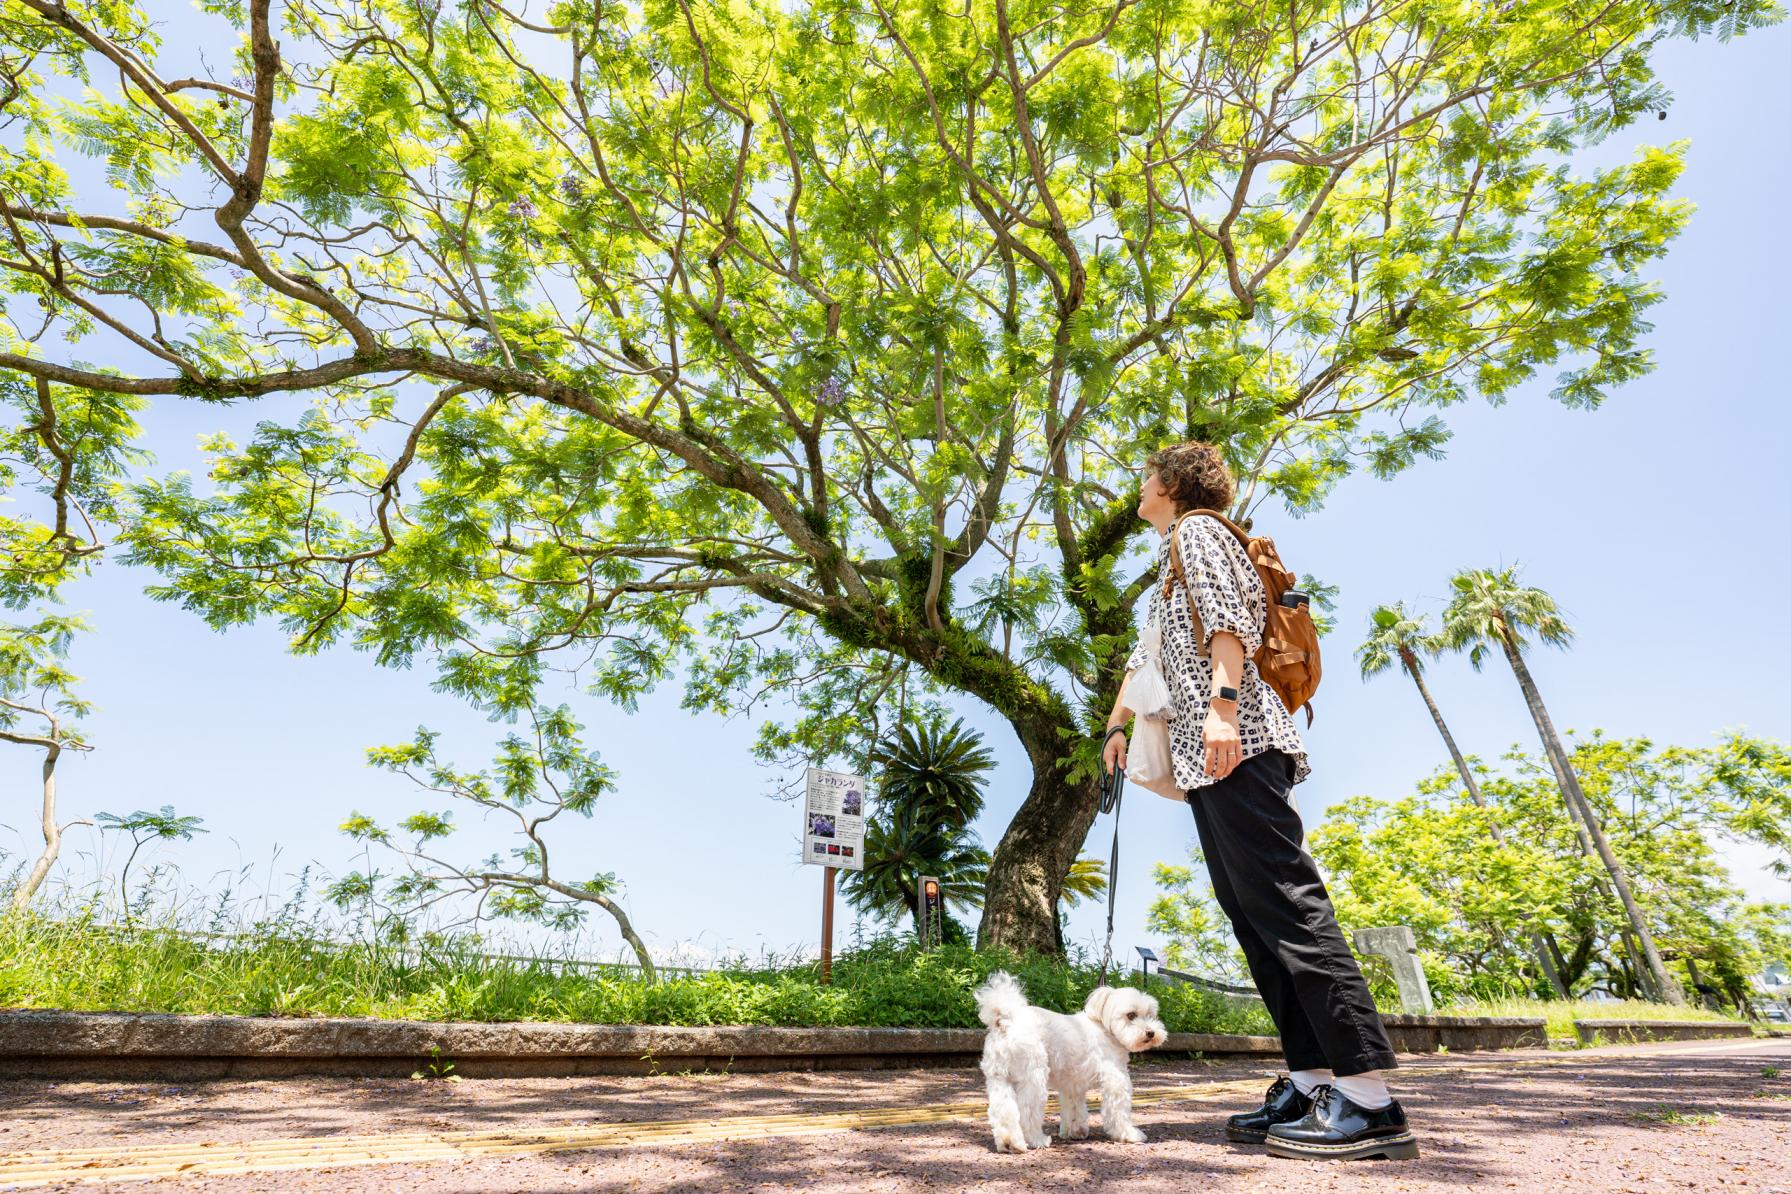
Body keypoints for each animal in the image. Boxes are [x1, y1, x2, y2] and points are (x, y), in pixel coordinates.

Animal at [974, 973, 1167, 1159]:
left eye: (1151, 1015)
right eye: (1131, 1015)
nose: (1151, 1032)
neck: (1105, 1029)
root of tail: (1005, 1019)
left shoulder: (1072, 1084)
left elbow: (1075, 1109)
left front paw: (1074, 1132)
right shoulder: (1116, 1081)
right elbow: (1119, 1111)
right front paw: (1129, 1134)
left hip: (999, 1079)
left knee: (1003, 1111)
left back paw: (1009, 1143)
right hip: (1033, 1078)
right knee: (1027, 1112)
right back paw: (1037, 1140)